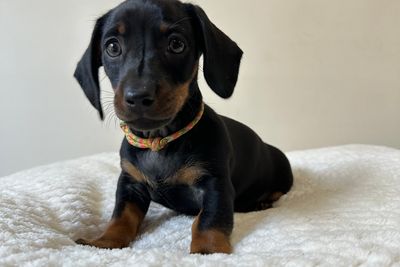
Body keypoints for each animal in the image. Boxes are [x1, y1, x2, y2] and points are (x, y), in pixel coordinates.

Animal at [74, 0, 294, 254]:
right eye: (112, 47)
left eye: (176, 44)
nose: (138, 96)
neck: (160, 142)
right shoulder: (130, 183)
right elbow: (121, 216)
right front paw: (104, 241)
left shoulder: (215, 184)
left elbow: (208, 220)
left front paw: (207, 250)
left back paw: (262, 201)